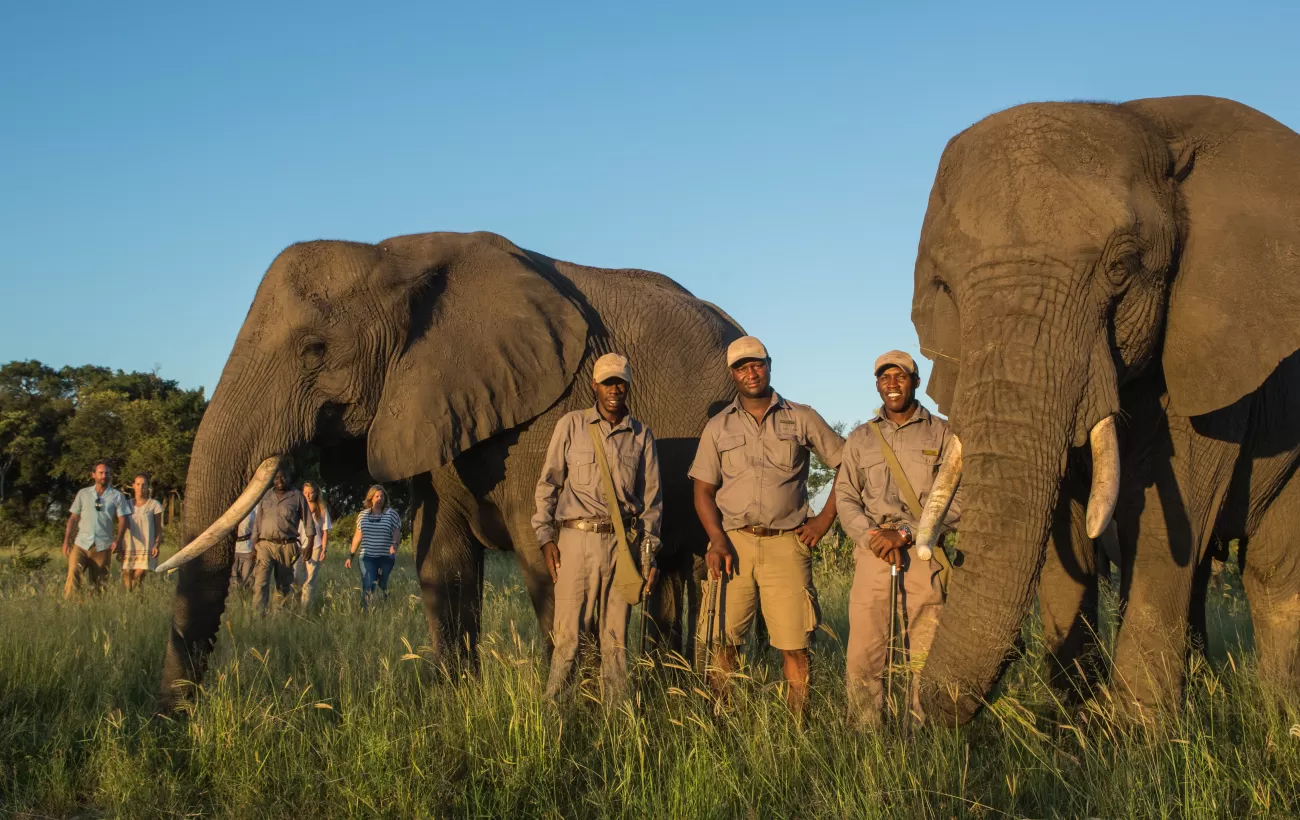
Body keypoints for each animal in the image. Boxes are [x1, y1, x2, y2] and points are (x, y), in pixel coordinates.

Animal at [154, 232, 743, 712]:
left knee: (695, 571)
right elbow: (438, 559)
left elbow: (546, 562)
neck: (398, 259)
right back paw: (669, 685)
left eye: (314, 350)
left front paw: (577, 714)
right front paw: (454, 707)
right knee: (666, 572)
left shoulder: (550, 413)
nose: (173, 722)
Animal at [904, 94, 1300, 722]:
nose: (922, 712)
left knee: (1275, 571)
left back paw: (1279, 718)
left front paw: (1138, 735)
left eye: (1121, 268)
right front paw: (1069, 726)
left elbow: (1163, 525)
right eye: (944, 287)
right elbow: (1066, 541)